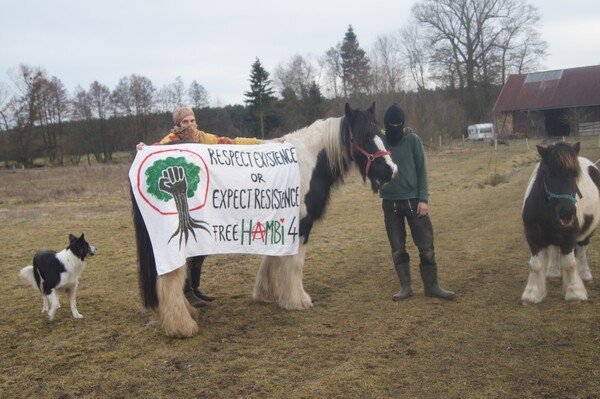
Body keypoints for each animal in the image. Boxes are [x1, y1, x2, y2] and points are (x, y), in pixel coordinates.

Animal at [130, 104, 398, 338]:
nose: (390, 171)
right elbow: (295, 263)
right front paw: (297, 300)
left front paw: (267, 294)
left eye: (379, 131)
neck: (307, 160)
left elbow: (273, 258)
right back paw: (182, 326)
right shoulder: (301, 226)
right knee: (169, 280)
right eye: (361, 136)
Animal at [520, 142, 600, 304]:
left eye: (575, 175)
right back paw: (553, 273)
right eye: (549, 175)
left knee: (582, 250)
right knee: (555, 249)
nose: (567, 213)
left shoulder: (569, 236)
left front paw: (575, 293)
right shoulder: (533, 236)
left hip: (587, 231)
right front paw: (532, 295)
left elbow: (569, 263)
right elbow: (536, 265)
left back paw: (585, 276)